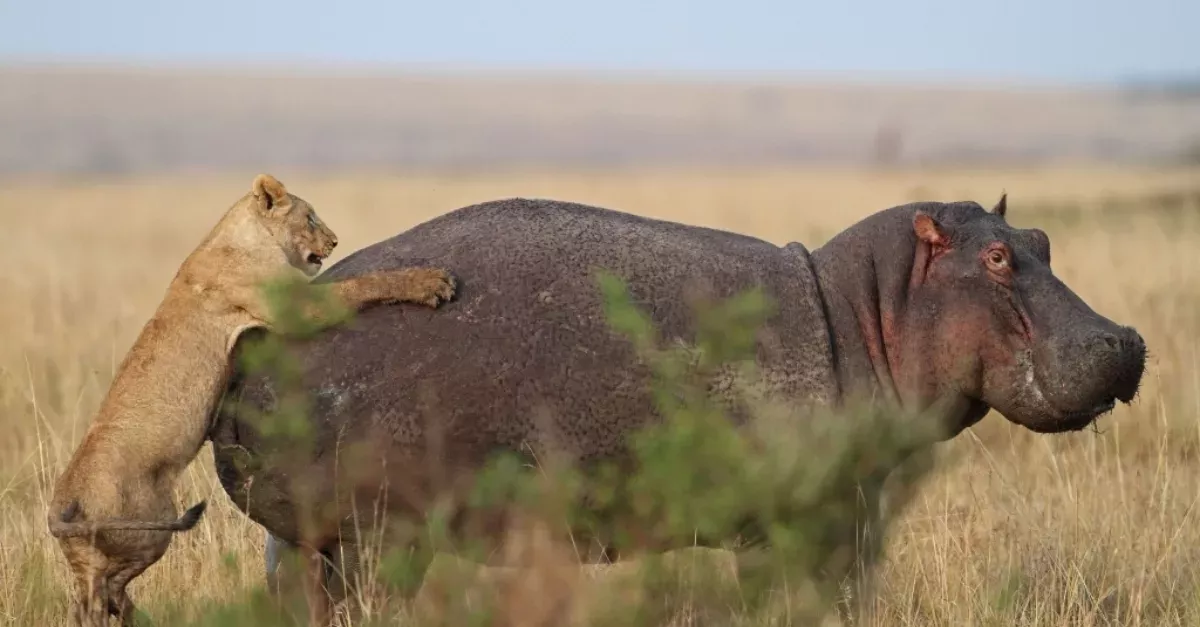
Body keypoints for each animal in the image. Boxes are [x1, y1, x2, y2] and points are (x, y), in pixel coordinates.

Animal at [209, 195, 1146, 611]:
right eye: (995, 258)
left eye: (1040, 239)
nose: (1126, 339)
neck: (869, 309)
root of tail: (255, 341)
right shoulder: (794, 523)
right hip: (378, 537)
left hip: (303, 544)